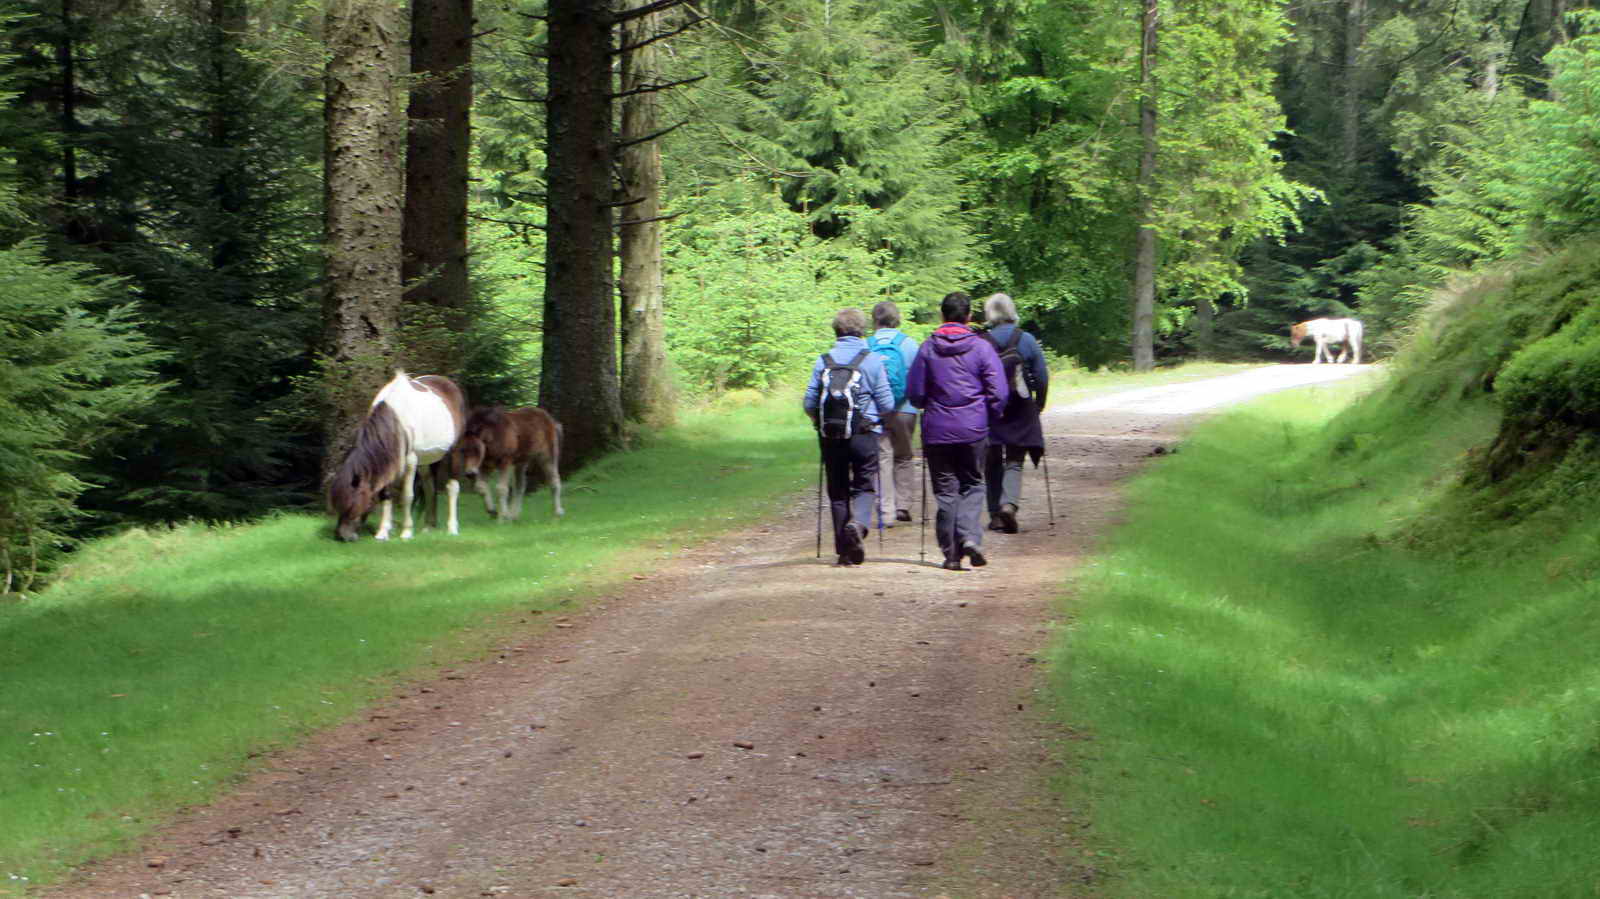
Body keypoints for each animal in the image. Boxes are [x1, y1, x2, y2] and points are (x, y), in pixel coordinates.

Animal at [326, 369, 467, 537]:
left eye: (351, 504)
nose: (341, 536)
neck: (396, 419)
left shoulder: (410, 461)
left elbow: (407, 496)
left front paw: (406, 531)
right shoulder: (388, 461)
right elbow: (385, 495)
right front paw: (383, 532)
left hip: (454, 452)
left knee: (452, 488)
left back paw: (452, 528)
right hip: (426, 461)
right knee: (429, 488)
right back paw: (428, 527)